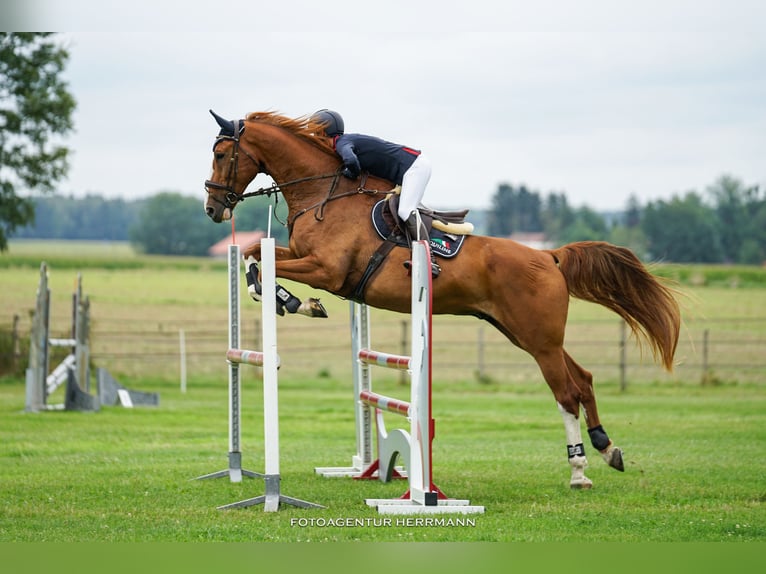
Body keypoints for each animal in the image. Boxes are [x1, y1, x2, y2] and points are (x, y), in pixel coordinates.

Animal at [204, 111, 684, 490]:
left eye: (223, 154)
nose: (213, 208)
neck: (323, 194)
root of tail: (549, 256)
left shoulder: (327, 270)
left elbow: (266, 262)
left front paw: (292, 301)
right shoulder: (305, 259)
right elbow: (253, 253)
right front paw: (280, 297)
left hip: (538, 338)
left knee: (566, 392)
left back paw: (579, 469)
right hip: (525, 334)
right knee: (582, 379)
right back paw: (607, 449)